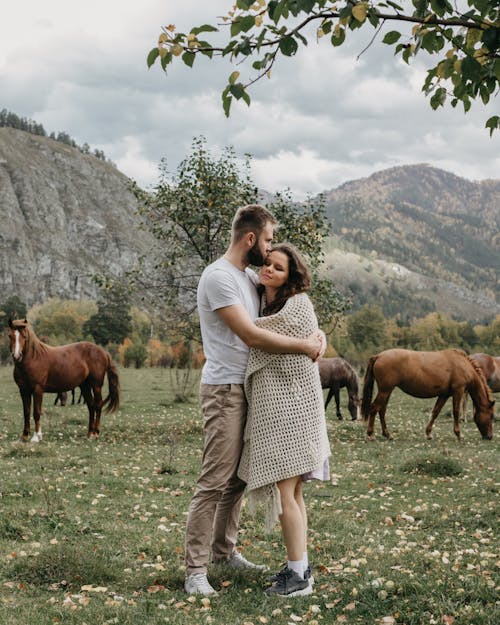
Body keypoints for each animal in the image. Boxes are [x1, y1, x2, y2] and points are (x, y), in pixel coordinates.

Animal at [362, 348, 494, 442]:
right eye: (491, 416)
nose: (490, 436)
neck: (462, 364)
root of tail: (379, 356)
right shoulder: (458, 391)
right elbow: (456, 412)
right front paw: (458, 435)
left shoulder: (444, 395)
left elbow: (435, 412)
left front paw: (429, 433)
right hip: (385, 390)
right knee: (374, 408)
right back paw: (371, 434)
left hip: (387, 391)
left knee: (382, 410)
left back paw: (387, 434)